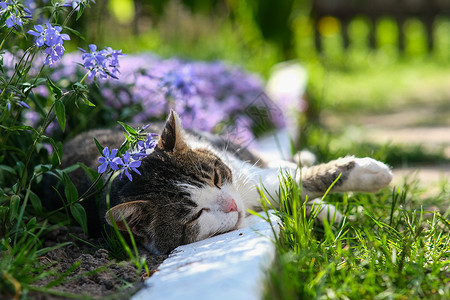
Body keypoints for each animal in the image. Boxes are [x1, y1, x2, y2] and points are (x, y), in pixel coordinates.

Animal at [49, 109, 392, 254]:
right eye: (194, 216)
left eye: (215, 178)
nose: (229, 204)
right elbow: (288, 188)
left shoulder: (242, 174)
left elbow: (287, 179)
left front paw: (368, 173)